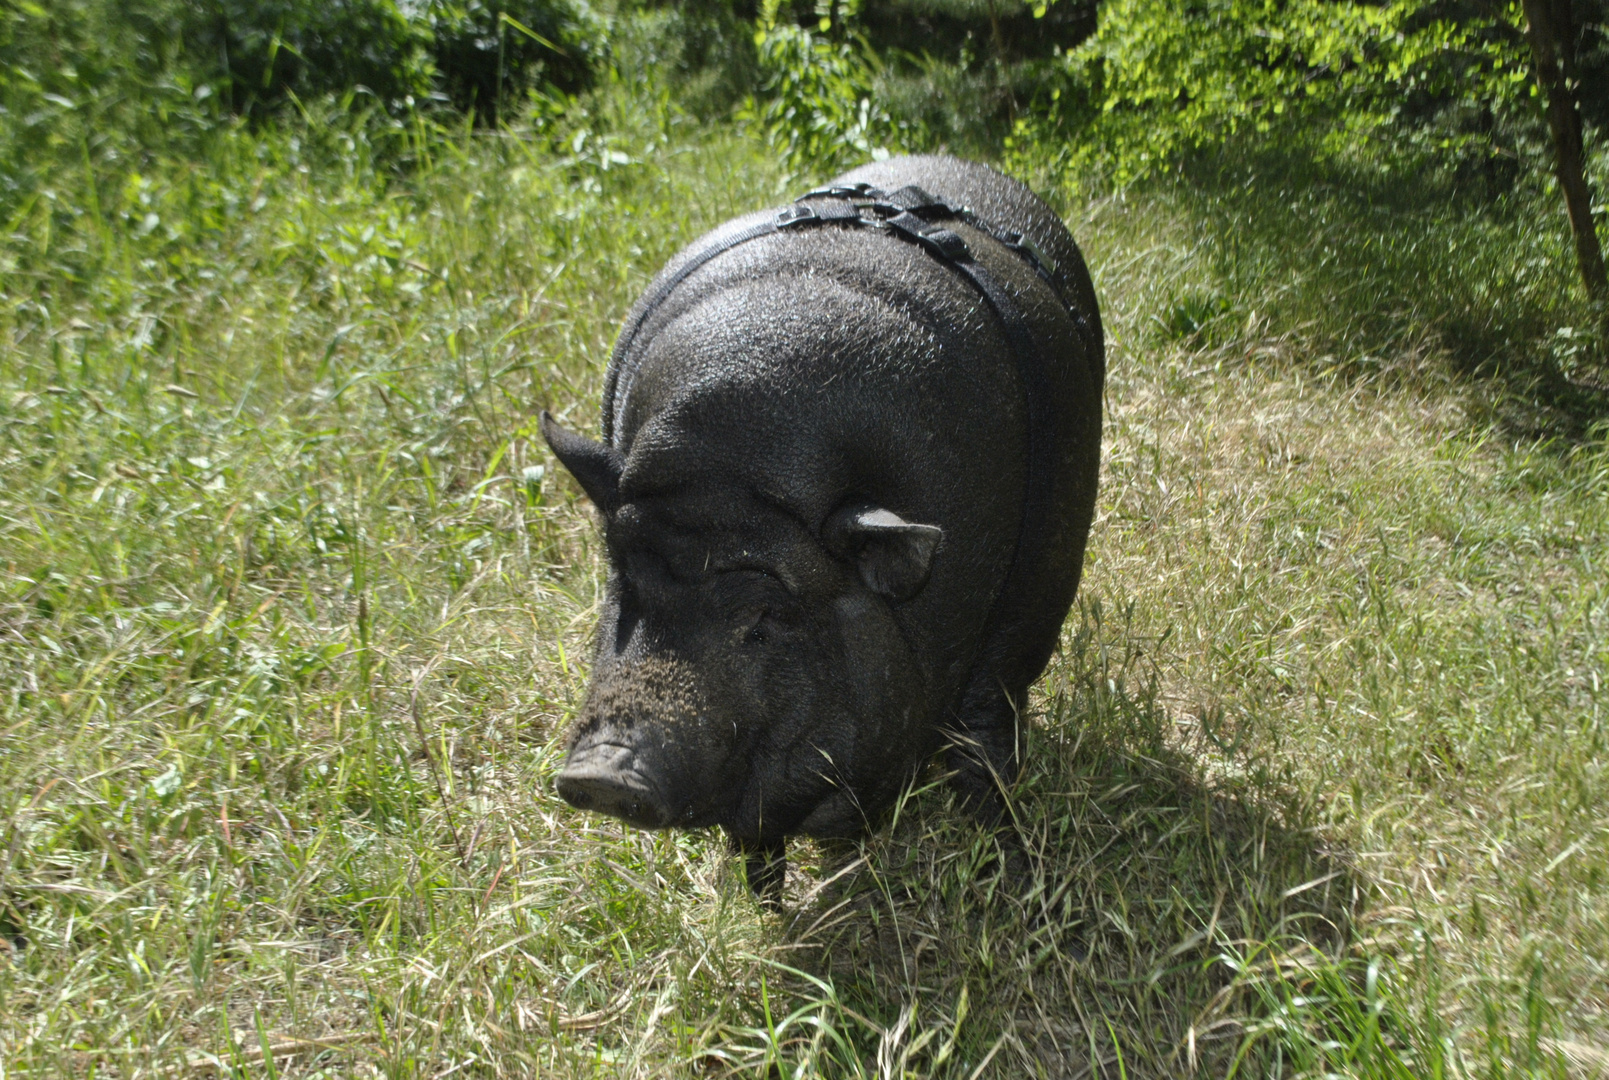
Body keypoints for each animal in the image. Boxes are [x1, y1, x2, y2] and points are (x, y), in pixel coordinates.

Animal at [547, 156, 1100, 901]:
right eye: (625, 585)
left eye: (765, 615)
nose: (600, 773)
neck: (732, 468)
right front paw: (764, 903)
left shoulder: (1022, 616)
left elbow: (983, 754)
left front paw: (1013, 878)